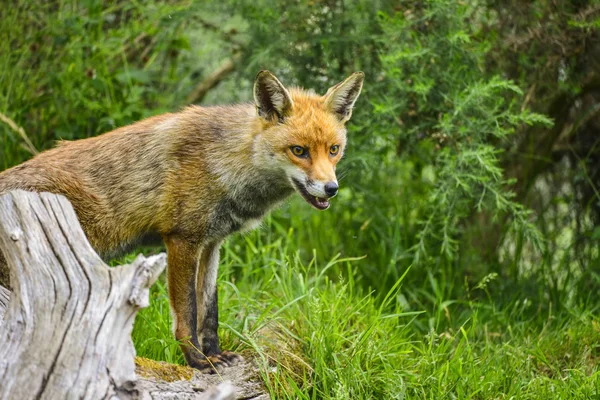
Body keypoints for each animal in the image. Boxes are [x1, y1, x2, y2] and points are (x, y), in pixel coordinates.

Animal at [0, 70, 360, 374]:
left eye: (333, 150)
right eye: (298, 150)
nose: (331, 188)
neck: (226, 164)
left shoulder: (212, 243)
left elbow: (209, 311)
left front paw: (216, 354)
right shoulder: (181, 239)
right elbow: (187, 313)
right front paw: (198, 361)